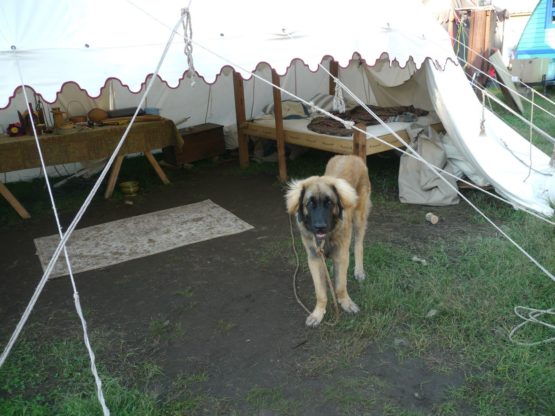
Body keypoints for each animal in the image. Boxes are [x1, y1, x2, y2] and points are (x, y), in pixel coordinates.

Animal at [284, 154, 372, 326]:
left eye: (329, 203)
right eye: (310, 203)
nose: (320, 227)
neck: (326, 238)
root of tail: (351, 155)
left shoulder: (342, 255)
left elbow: (340, 286)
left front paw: (346, 303)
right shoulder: (314, 258)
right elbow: (321, 292)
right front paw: (318, 313)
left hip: (359, 219)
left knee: (358, 245)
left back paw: (359, 270)